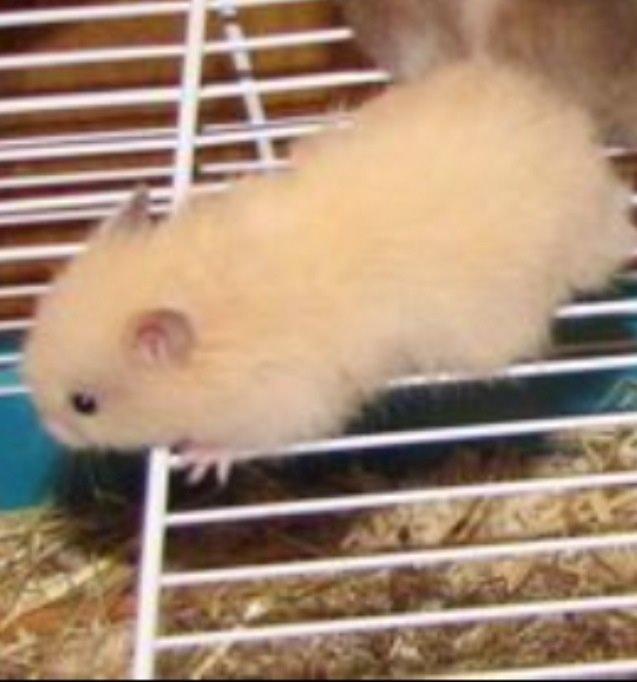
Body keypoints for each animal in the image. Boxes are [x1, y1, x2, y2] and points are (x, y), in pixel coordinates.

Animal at [24, 62, 634, 483]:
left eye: (85, 404)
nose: (49, 429)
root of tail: (606, 206)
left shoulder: (282, 398)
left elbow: (248, 438)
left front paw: (198, 462)